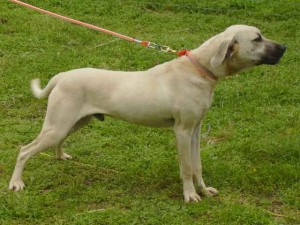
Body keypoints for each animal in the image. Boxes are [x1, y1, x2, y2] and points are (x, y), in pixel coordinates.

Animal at [9, 24, 286, 202]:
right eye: (258, 38)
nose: (284, 47)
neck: (199, 69)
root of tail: (62, 76)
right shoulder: (182, 132)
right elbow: (187, 167)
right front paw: (190, 196)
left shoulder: (195, 131)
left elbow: (197, 166)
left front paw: (204, 191)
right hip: (57, 126)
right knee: (24, 150)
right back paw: (16, 183)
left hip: (73, 123)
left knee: (57, 142)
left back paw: (60, 156)